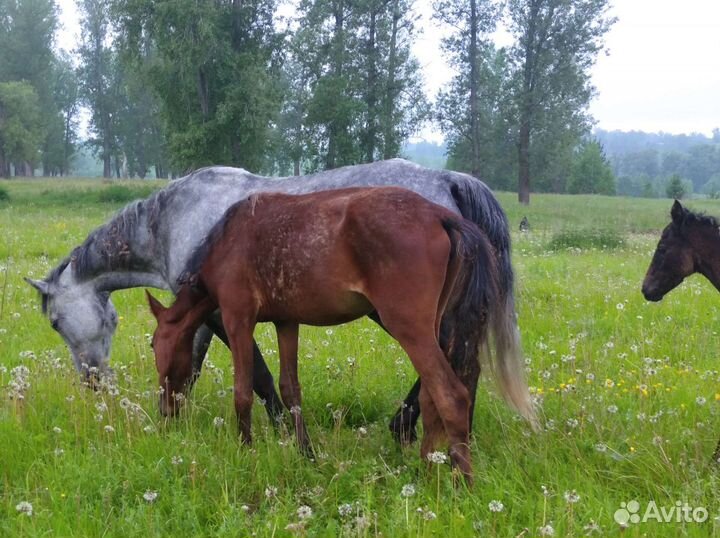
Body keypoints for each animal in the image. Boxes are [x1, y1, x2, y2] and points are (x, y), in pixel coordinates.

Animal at [25, 159, 522, 443]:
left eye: (55, 323)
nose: (92, 383)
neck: (170, 220)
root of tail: (449, 181)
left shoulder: (223, 311)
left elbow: (258, 375)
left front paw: (279, 428)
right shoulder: (199, 310)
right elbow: (192, 363)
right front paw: (174, 417)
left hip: (399, 311)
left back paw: (408, 428)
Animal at [146, 187, 532, 484]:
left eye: (153, 344)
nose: (165, 411)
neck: (228, 240)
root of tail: (440, 215)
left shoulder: (237, 318)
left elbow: (242, 392)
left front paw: (246, 451)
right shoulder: (287, 322)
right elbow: (290, 389)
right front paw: (306, 453)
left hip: (410, 327)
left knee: (451, 395)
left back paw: (461, 479)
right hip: (431, 327)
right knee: (430, 396)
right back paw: (426, 466)